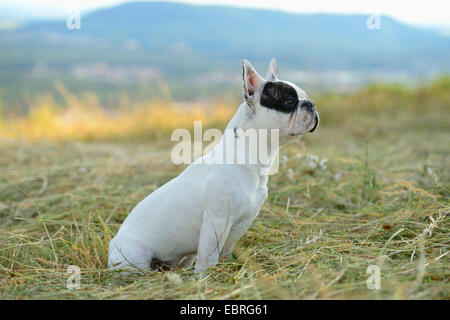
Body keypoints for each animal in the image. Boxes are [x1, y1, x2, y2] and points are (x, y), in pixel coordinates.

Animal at [108, 59, 320, 272]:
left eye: (305, 98)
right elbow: (208, 258)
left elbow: (226, 249)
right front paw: (206, 276)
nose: (311, 105)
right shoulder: (216, 222)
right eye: (289, 101)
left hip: (184, 257)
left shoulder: (241, 223)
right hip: (134, 257)